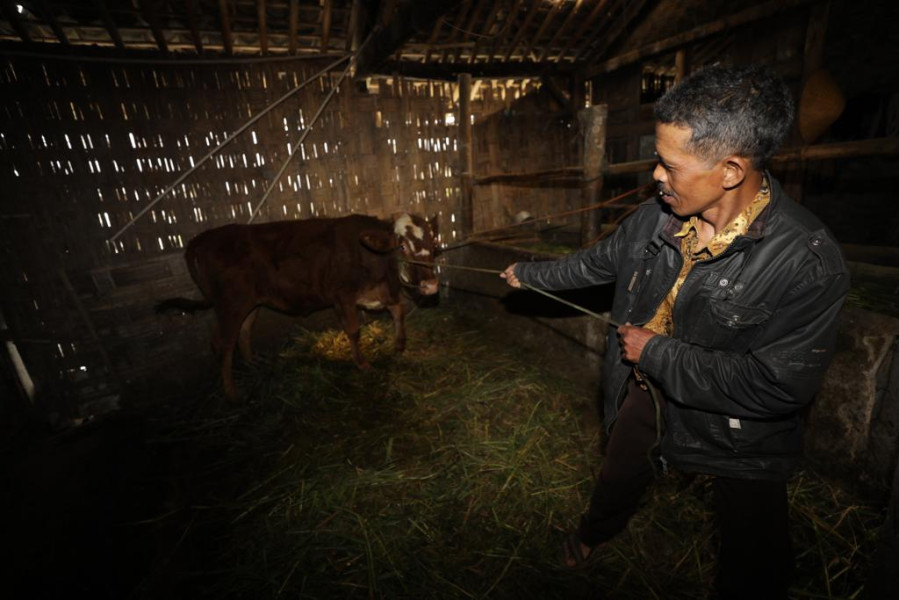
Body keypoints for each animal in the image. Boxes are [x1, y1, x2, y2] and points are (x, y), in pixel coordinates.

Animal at [157, 212, 440, 398]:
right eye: (401, 246)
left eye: (432, 244)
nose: (431, 286)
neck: (373, 259)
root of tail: (202, 239)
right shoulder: (342, 296)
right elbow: (353, 330)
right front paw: (362, 363)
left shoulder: (380, 293)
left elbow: (398, 310)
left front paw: (400, 345)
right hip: (230, 303)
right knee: (223, 343)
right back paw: (232, 392)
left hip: (250, 302)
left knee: (244, 331)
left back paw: (253, 363)